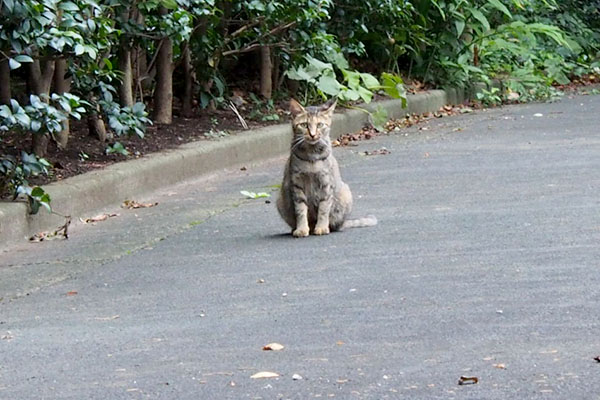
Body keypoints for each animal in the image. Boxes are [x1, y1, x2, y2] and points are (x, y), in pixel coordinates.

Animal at [276, 98, 376, 238]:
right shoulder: (296, 184)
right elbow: (300, 210)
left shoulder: (326, 183)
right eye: (304, 125)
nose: (312, 135)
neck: (311, 157)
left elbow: (323, 209)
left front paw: (322, 227)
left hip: (345, 193)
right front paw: (302, 229)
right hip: (280, 200)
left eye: (319, 125)